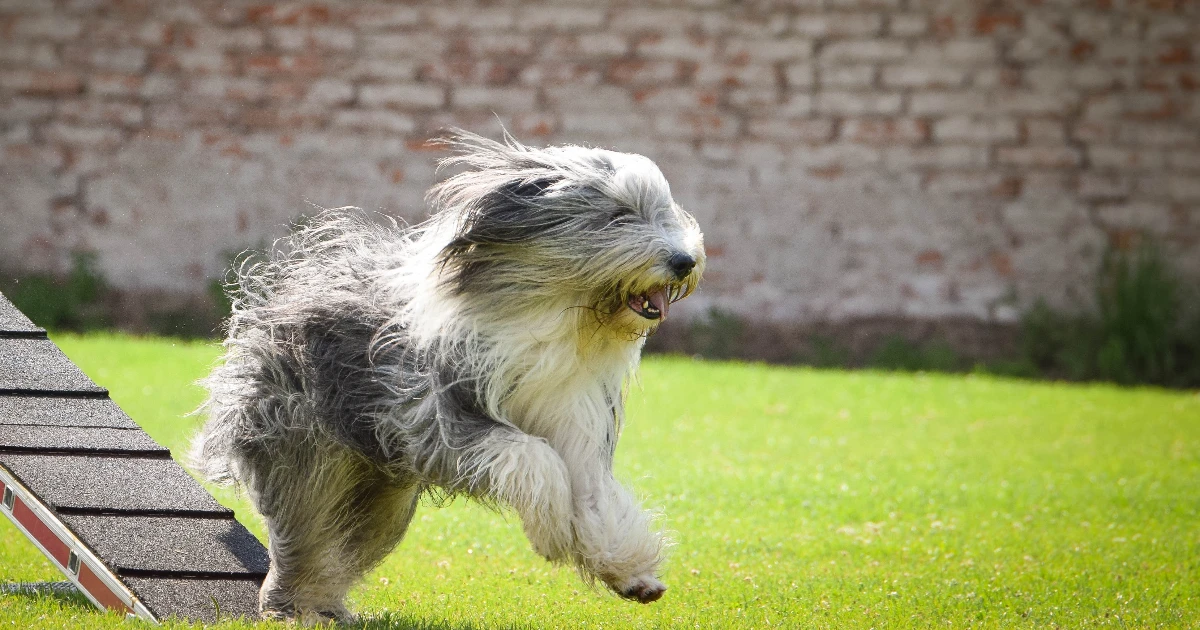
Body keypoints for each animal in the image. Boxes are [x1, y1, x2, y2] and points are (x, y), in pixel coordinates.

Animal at [187, 130, 700, 619]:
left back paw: (325, 605)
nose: (685, 261)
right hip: (305, 452)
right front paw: (554, 532)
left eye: (662, 212)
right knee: (305, 533)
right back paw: (291, 607)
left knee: (345, 544)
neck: (554, 317)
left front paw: (629, 571)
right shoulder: (429, 416)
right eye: (618, 215)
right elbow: (534, 456)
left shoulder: (572, 414)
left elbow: (593, 493)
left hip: (383, 498)